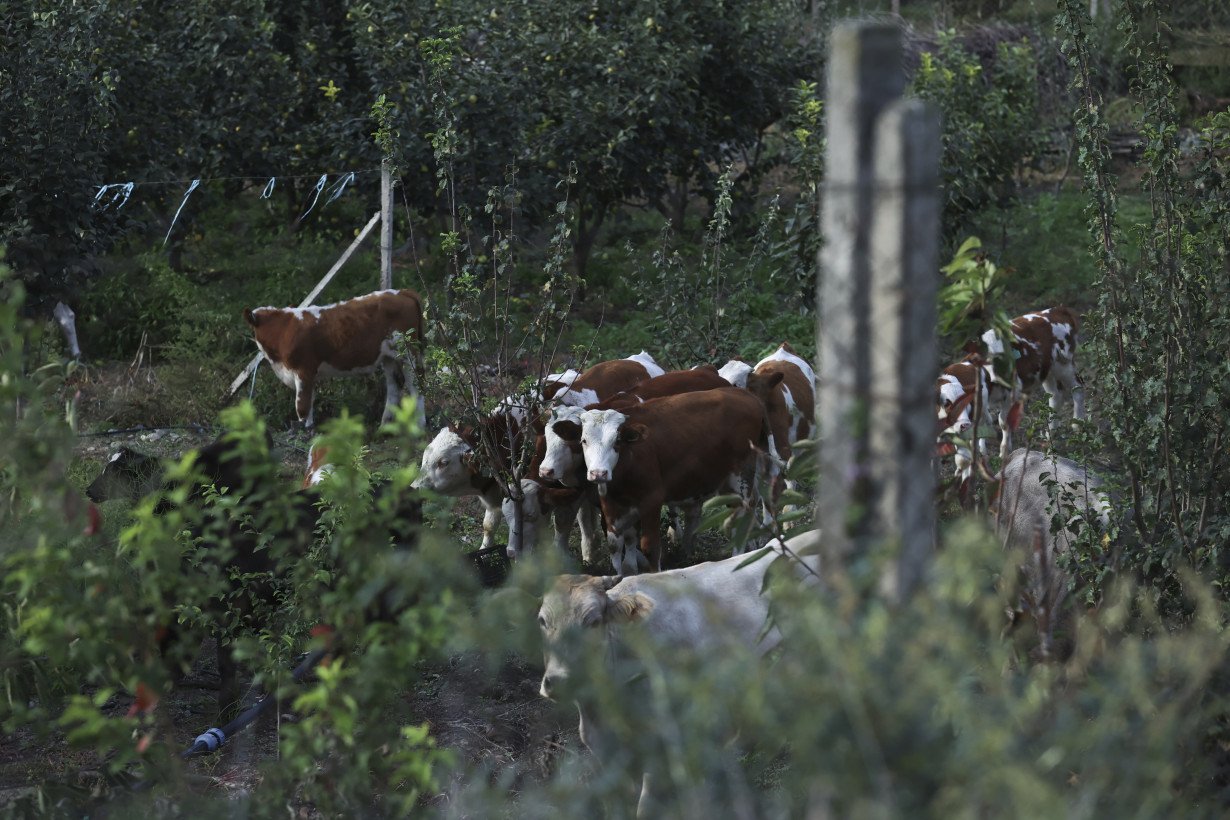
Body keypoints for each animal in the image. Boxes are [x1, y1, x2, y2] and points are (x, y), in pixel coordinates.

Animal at [242, 288, 430, 430]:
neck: (283, 330)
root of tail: (401, 292)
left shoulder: (304, 370)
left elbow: (302, 406)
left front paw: (303, 431)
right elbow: (310, 403)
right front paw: (309, 428)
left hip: (410, 351)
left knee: (417, 383)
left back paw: (420, 425)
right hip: (388, 356)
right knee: (394, 385)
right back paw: (384, 425)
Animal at [563, 386, 772, 575]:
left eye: (617, 441)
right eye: (584, 441)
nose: (598, 473)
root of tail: (746, 395)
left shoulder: (651, 501)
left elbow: (650, 547)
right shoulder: (611, 505)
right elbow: (616, 546)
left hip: (740, 478)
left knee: (740, 521)